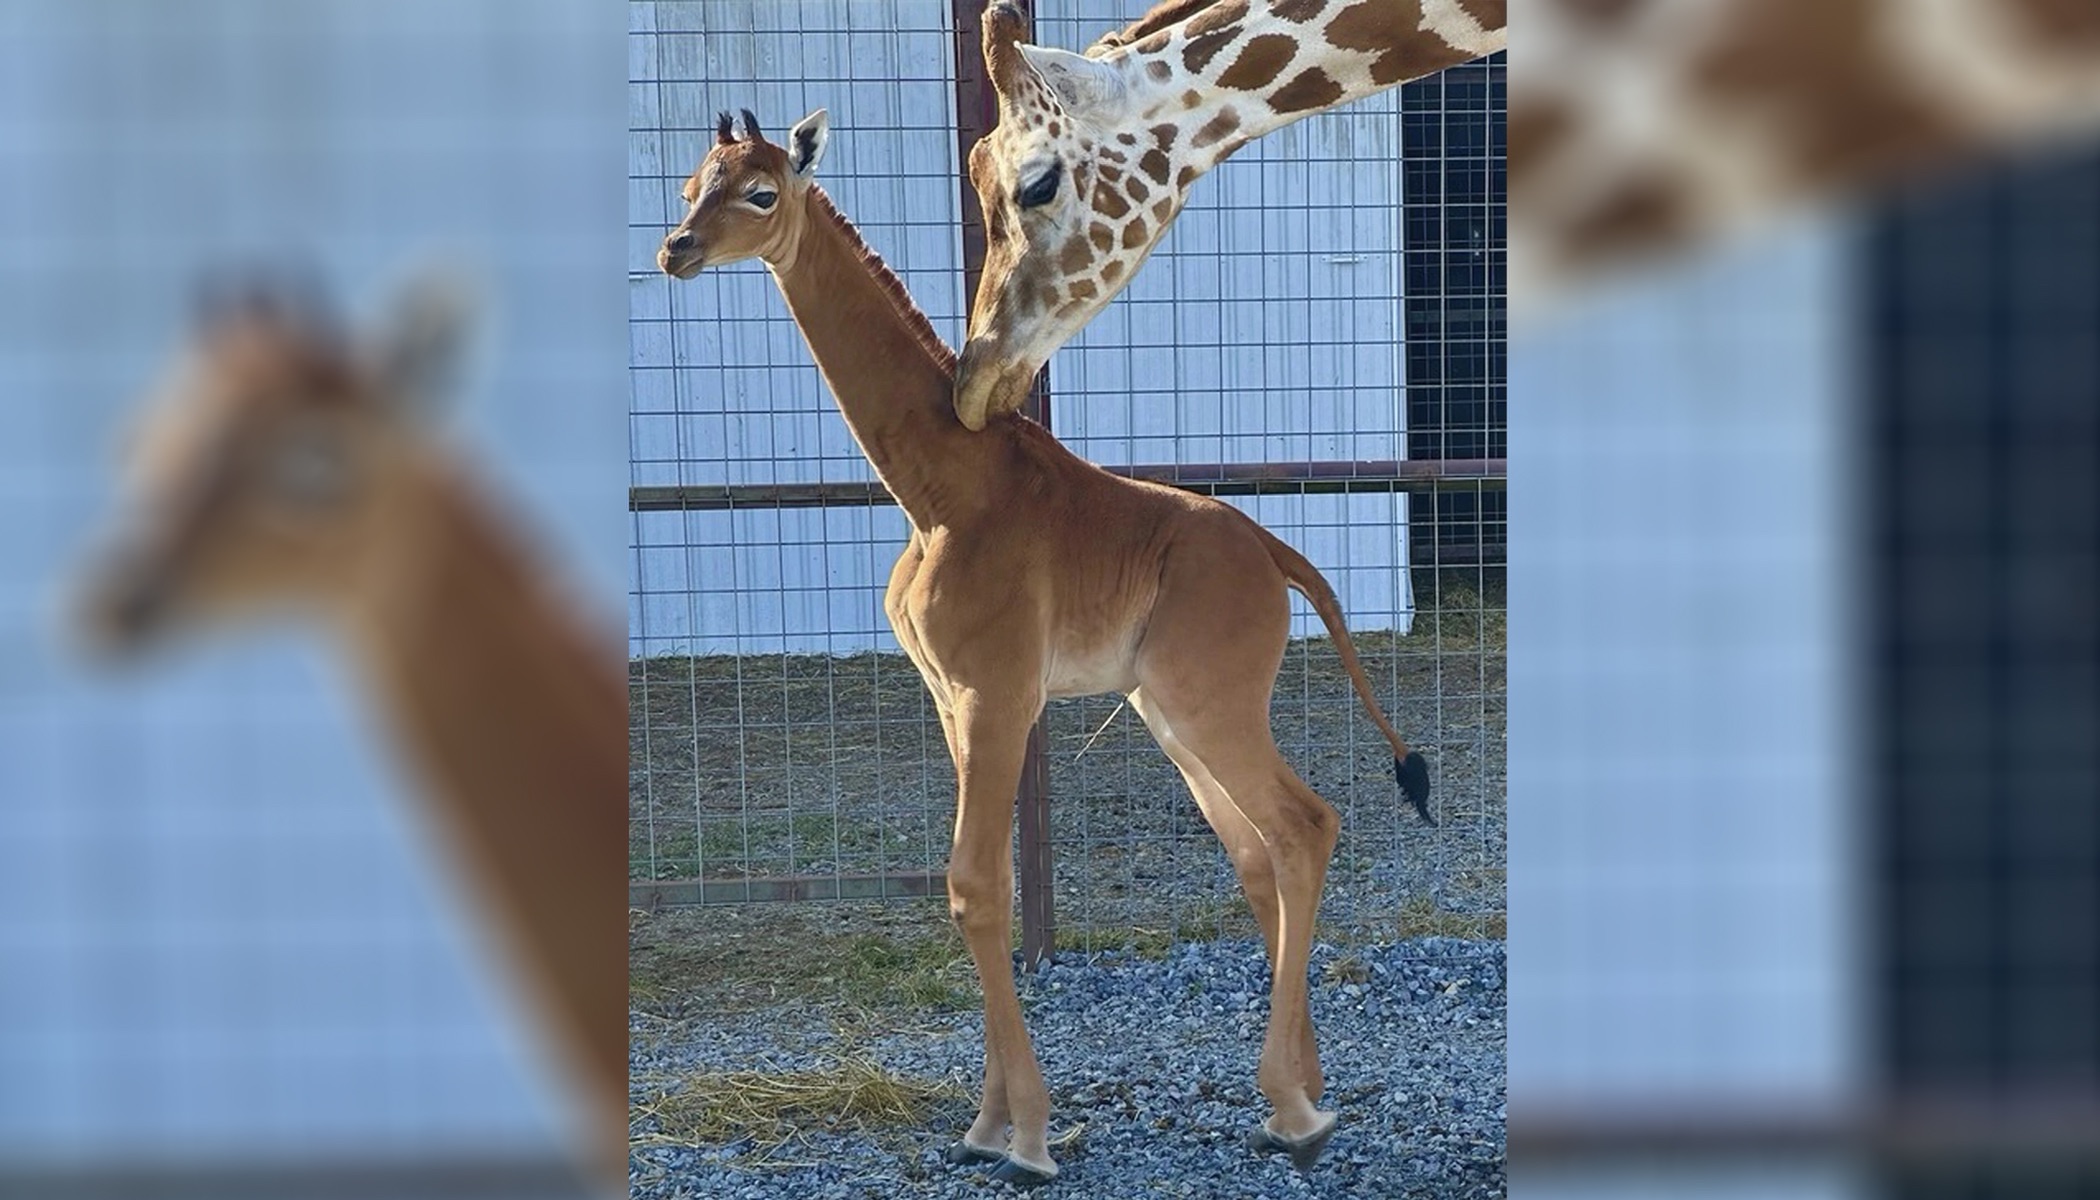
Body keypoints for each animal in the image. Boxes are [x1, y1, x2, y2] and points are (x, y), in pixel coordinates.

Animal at [658, 108, 1433, 1184]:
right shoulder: (953, 699)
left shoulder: (998, 694)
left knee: (1303, 825)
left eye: (761, 192)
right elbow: (982, 889)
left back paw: (1293, 1110)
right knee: (1257, 848)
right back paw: (1306, 1090)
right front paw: (988, 1124)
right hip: (1169, 713)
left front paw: (1023, 1135)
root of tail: (1278, 556)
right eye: (692, 183)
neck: (940, 490)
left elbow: (976, 887)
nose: (676, 249)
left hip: (1209, 702)